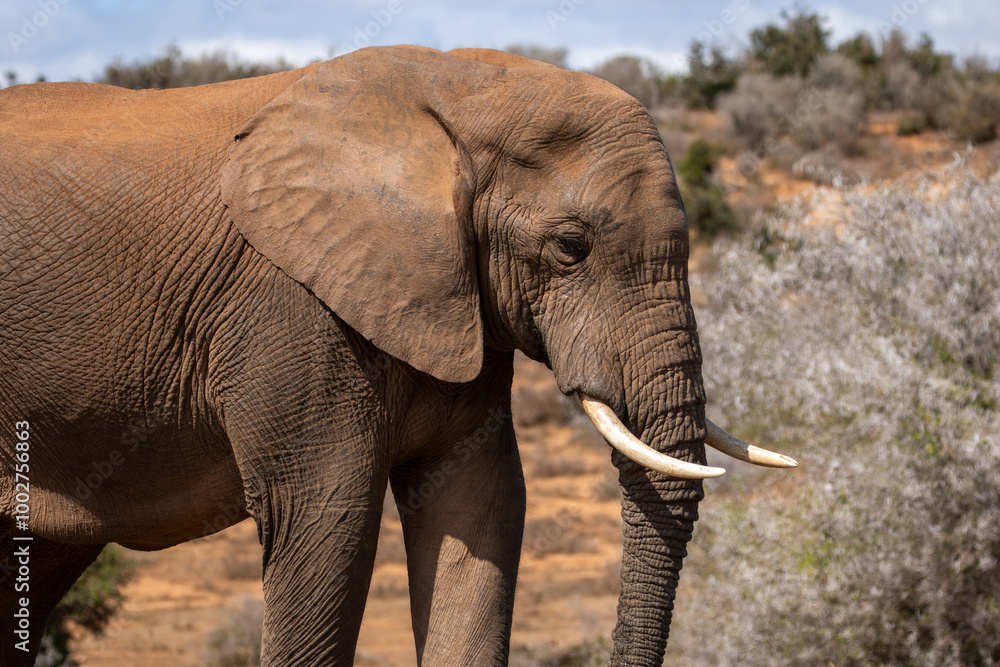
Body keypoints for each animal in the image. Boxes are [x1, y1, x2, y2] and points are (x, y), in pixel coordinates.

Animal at [0, 45, 795, 665]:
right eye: (571, 247)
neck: (463, 89)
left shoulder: (457, 303)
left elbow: (480, 501)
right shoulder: (291, 307)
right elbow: (325, 513)